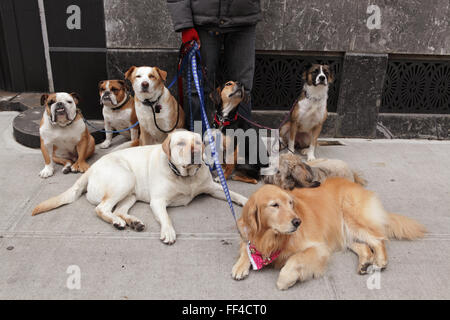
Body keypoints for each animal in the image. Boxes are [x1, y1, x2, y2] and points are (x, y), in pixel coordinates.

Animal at [33, 130, 248, 245]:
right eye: (180, 143)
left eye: (197, 142)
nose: (195, 153)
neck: (186, 177)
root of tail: (91, 167)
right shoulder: (158, 201)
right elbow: (166, 217)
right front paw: (168, 231)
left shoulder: (213, 188)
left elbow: (234, 194)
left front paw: (246, 201)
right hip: (124, 179)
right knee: (101, 208)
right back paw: (118, 222)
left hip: (131, 193)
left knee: (118, 209)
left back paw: (132, 222)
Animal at [232, 179, 426, 292]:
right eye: (274, 205)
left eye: (290, 203)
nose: (297, 222)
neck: (271, 238)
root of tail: (356, 186)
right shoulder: (248, 235)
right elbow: (246, 248)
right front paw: (240, 266)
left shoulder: (318, 248)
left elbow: (294, 260)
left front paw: (287, 280)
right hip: (343, 233)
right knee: (364, 246)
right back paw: (364, 262)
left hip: (351, 219)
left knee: (378, 239)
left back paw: (380, 261)